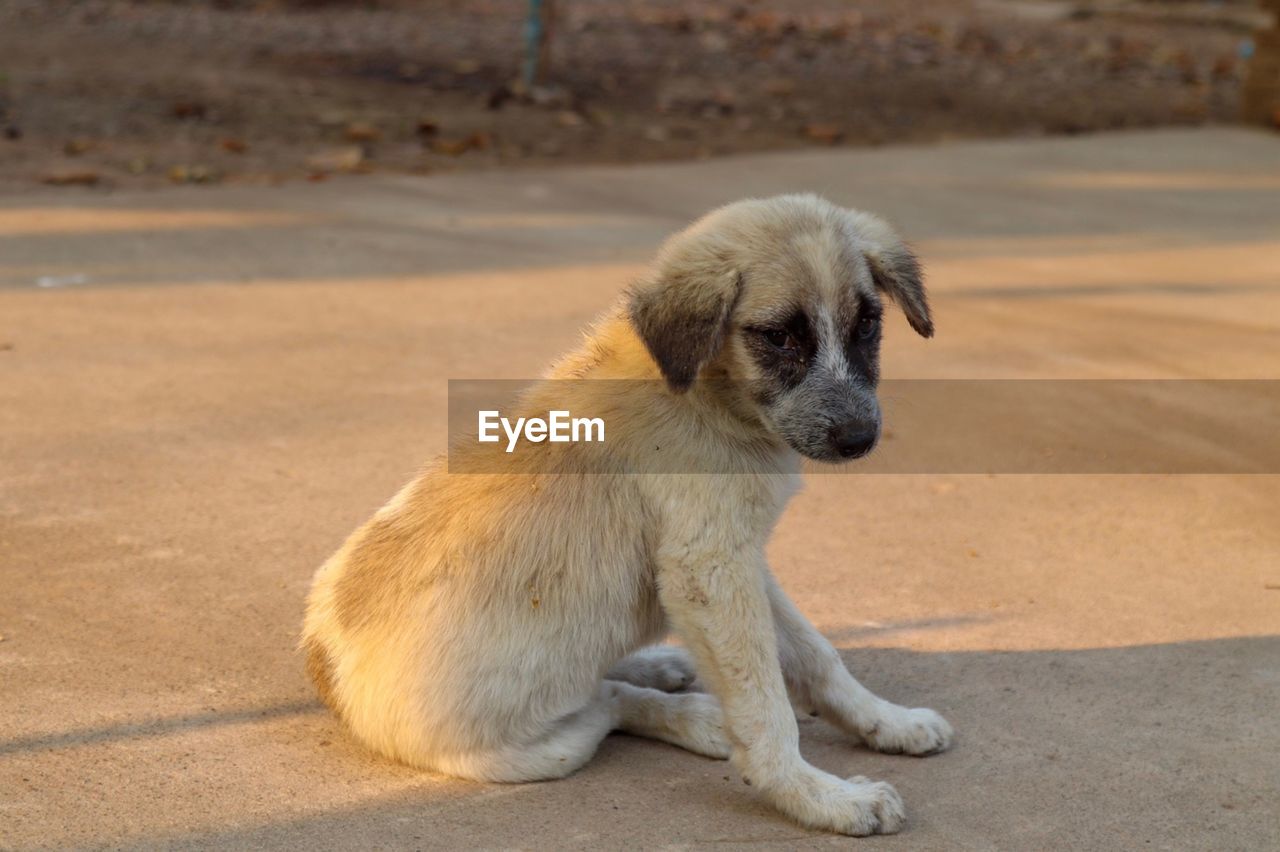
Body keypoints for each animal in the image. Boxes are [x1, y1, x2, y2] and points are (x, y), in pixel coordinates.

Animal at [302, 194, 952, 834]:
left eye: (867, 324)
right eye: (778, 337)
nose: (859, 438)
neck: (708, 393)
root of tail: (325, 673)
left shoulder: (738, 555)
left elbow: (815, 653)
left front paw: (887, 722)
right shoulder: (706, 570)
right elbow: (766, 706)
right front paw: (818, 796)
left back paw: (660, 665)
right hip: (541, 751)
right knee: (605, 702)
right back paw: (696, 715)